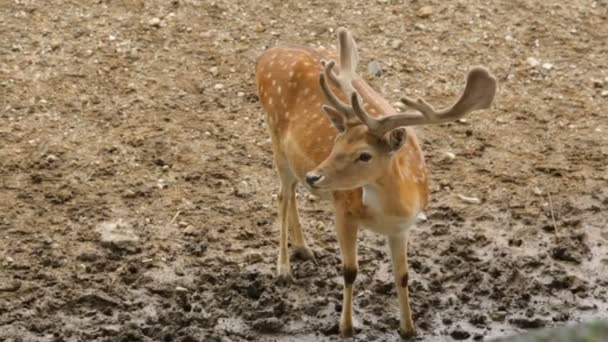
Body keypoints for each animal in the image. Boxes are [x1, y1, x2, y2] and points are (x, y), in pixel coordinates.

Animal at [254, 28, 496, 338]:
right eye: (336, 141)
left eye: (365, 154)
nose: (315, 176)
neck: (388, 211)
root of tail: (267, 55)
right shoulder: (343, 209)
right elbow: (350, 271)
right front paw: (346, 328)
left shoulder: (403, 227)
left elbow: (403, 276)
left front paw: (408, 329)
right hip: (275, 136)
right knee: (282, 195)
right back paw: (284, 269)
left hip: (293, 159)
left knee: (293, 191)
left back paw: (304, 249)